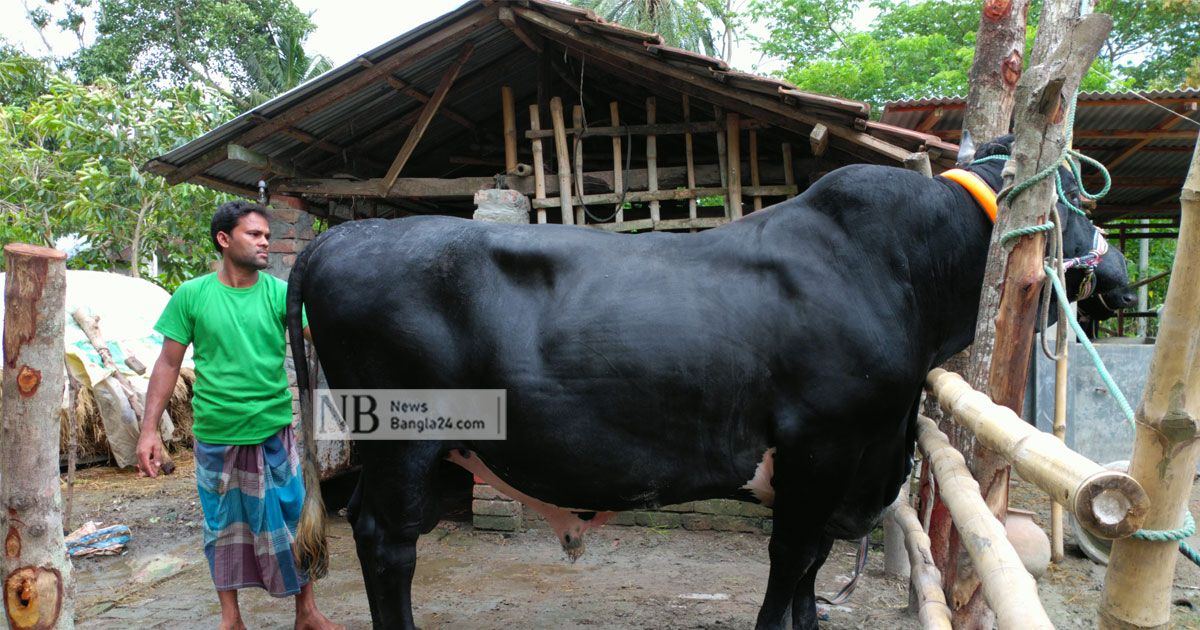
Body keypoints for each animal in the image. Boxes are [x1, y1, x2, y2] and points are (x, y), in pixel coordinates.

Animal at [285, 135, 1128, 624]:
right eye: (1078, 200)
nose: (1119, 274)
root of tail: (344, 235)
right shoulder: (821, 452)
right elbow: (789, 570)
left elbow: (808, 584)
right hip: (404, 439)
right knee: (385, 540)